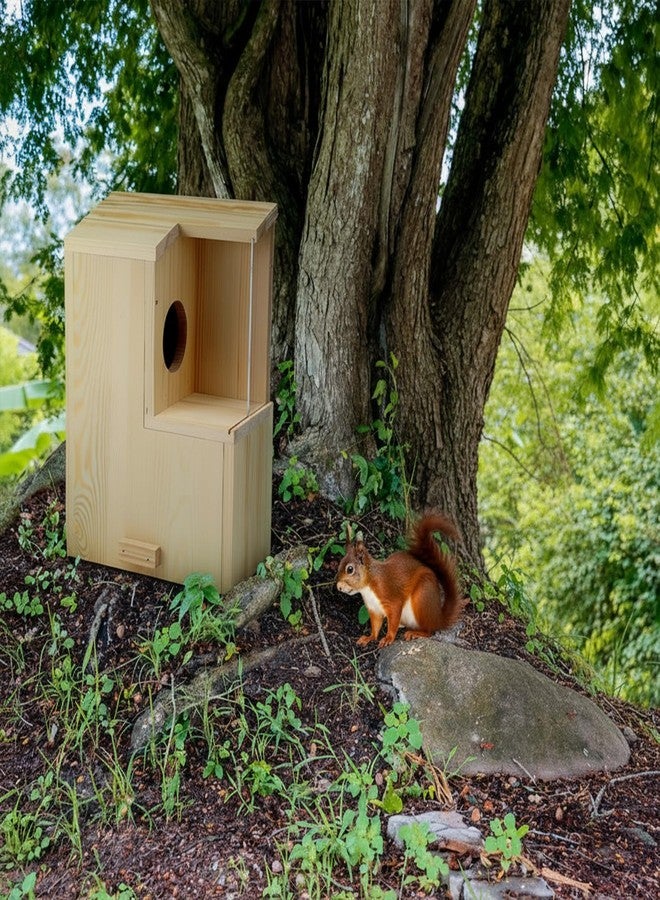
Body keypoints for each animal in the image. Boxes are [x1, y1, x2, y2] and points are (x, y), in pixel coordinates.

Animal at [335, 513, 465, 647]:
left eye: (350, 569)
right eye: (339, 564)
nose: (338, 586)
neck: (368, 585)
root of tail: (438, 618)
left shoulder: (391, 598)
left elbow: (393, 619)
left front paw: (388, 638)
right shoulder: (373, 608)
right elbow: (375, 626)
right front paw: (369, 638)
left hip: (422, 596)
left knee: (429, 631)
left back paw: (415, 633)